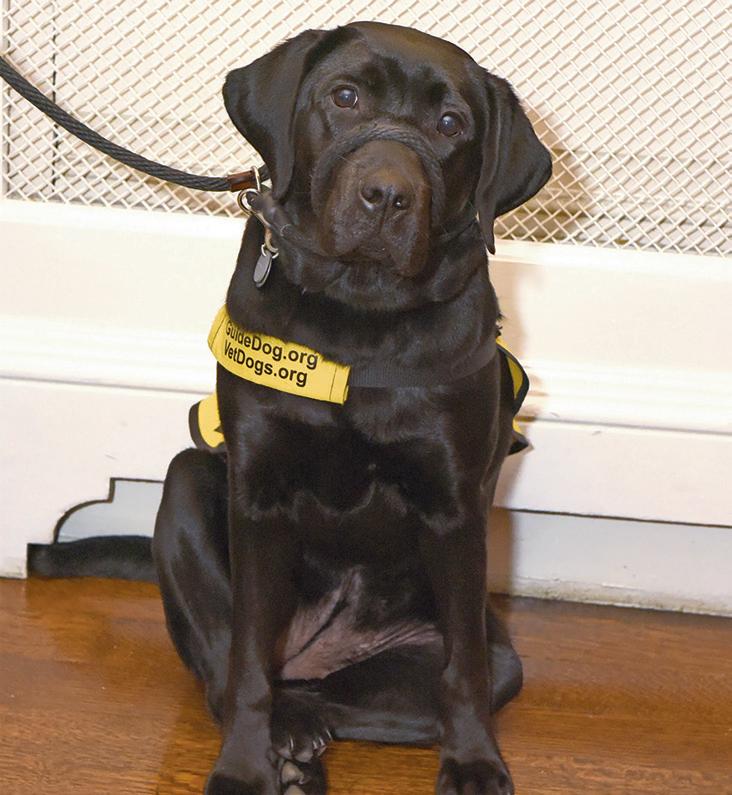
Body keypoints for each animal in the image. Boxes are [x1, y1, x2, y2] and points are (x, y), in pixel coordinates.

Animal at [152, 20, 551, 795]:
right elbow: (246, 662)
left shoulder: (454, 507)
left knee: (360, 699)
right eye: (344, 97)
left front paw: (474, 762)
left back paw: (302, 745)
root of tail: (318, 651)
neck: (358, 316)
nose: (387, 194)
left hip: (488, 662)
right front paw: (242, 767)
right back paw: (282, 741)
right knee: (227, 671)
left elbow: (462, 671)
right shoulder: (259, 494)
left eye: (450, 123)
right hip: (187, 482)